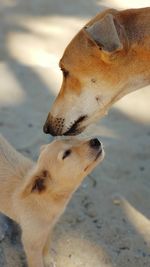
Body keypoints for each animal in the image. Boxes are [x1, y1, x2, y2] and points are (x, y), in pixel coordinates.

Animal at [0, 136, 104, 267]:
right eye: (66, 154)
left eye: (74, 137)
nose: (96, 141)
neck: (47, 198)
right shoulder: (31, 243)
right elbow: (37, 262)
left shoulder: (49, 228)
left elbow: (47, 246)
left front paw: (47, 260)